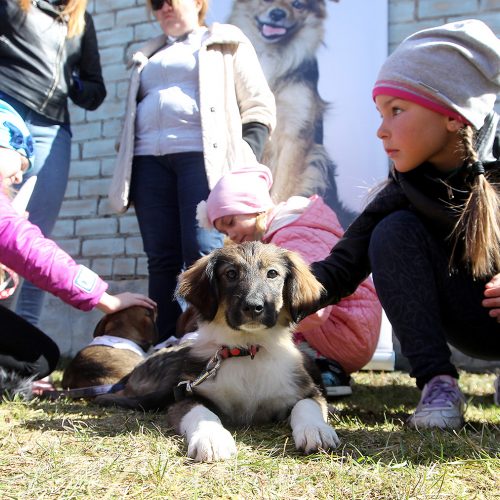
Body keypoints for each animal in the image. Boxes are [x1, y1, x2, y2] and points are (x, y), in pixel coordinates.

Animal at [96, 241, 340, 460]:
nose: (253, 307)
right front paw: (212, 439)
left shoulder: (305, 390)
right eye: (231, 274)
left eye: (272, 273)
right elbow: (203, 413)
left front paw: (316, 430)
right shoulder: (186, 395)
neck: (246, 350)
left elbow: (306, 405)